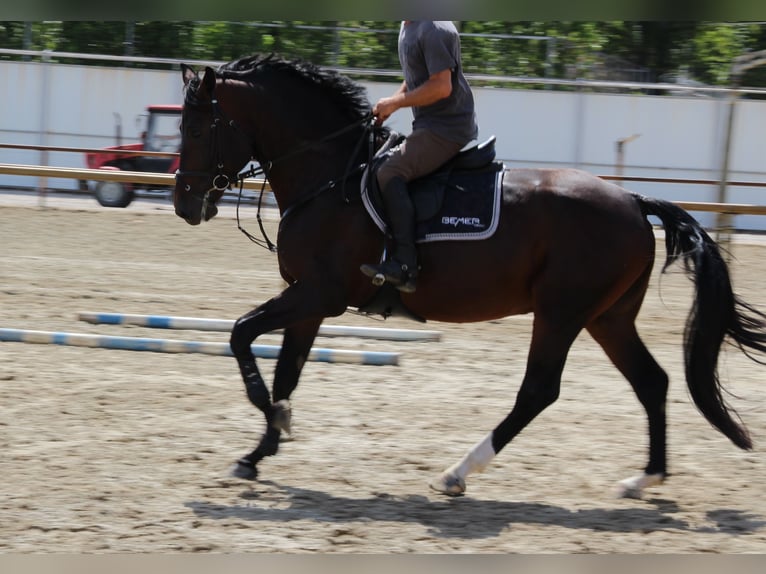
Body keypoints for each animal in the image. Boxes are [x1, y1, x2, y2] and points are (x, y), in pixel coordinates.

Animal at [176, 56, 766, 502]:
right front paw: (259, 451)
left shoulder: (318, 294)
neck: (329, 177)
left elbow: (241, 336)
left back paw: (457, 472)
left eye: (198, 128)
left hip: (562, 312)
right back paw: (645, 479)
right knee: (652, 382)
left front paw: (274, 422)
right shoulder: (311, 301)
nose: (184, 204)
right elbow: (287, 371)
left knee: (539, 390)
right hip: (608, 317)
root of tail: (633, 200)